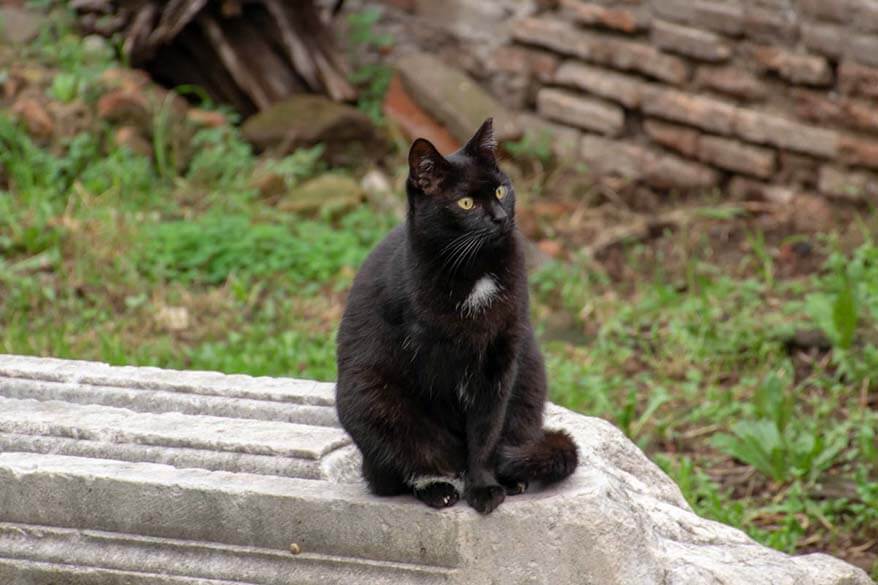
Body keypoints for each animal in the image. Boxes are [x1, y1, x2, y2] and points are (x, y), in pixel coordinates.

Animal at [336, 121, 576, 512]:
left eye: (500, 189)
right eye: (466, 203)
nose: (500, 217)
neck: (475, 270)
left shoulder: (501, 356)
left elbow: (486, 431)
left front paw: (484, 485)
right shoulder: (431, 361)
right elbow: (445, 435)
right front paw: (468, 484)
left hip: (530, 377)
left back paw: (511, 479)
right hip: (367, 396)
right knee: (404, 462)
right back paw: (439, 487)